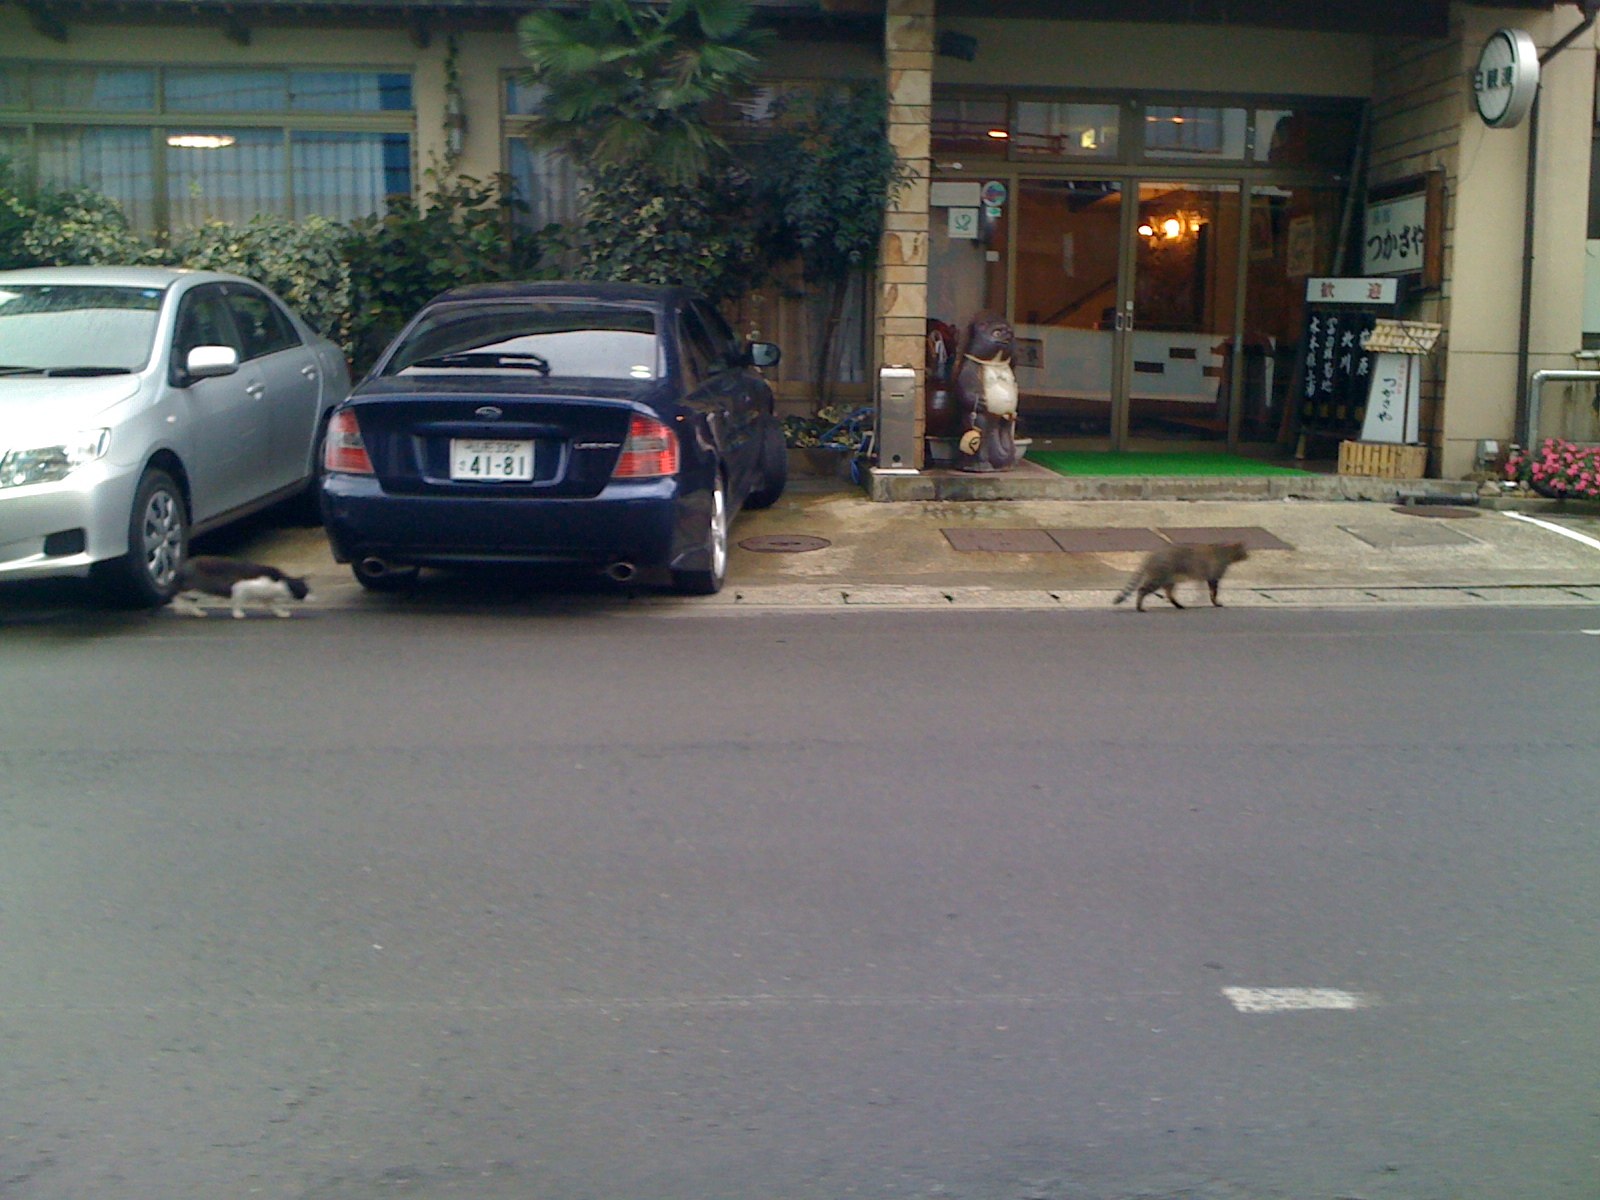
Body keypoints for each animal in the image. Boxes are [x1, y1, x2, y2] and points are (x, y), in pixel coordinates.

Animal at [170, 556, 313, 619]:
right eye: (305, 590)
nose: (312, 596)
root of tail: (180, 568)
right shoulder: (240, 588)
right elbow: (237, 603)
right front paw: (238, 614)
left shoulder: (266, 596)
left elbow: (273, 605)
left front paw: (281, 612)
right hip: (194, 589)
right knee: (179, 596)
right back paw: (181, 607)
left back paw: (197, 612)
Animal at [1112, 542, 1249, 612]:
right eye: (1244, 551)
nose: (1249, 556)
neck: (1225, 551)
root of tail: (1153, 554)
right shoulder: (1213, 576)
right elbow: (1214, 592)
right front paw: (1215, 601)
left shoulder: (1209, 576)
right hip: (1159, 577)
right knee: (1142, 589)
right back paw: (1139, 606)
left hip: (1169, 579)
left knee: (1169, 593)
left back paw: (1177, 604)